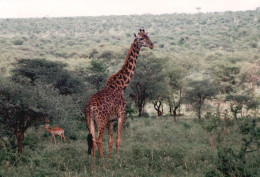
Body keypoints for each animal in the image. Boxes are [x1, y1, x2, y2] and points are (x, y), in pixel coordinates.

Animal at [85, 28, 154, 158]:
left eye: (148, 36)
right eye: (141, 38)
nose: (152, 45)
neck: (121, 85)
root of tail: (90, 106)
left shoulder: (111, 120)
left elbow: (110, 141)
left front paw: (111, 158)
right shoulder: (121, 115)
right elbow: (118, 140)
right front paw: (117, 158)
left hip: (89, 120)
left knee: (93, 139)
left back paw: (95, 162)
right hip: (101, 120)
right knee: (99, 140)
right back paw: (102, 161)